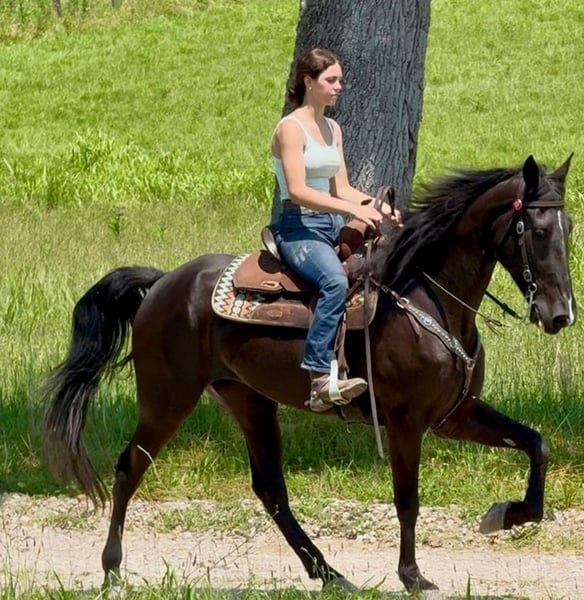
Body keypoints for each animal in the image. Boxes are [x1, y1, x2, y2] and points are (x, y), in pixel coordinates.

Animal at [41, 154, 575, 594]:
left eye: (567, 225)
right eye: (535, 229)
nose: (560, 314)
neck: (426, 297)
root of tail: (161, 283)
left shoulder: (456, 416)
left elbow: (537, 444)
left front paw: (505, 515)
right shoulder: (405, 423)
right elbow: (407, 499)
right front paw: (413, 575)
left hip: (248, 400)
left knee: (270, 489)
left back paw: (329, 572)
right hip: (167, 398)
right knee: (129, 467)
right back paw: (112, 570)